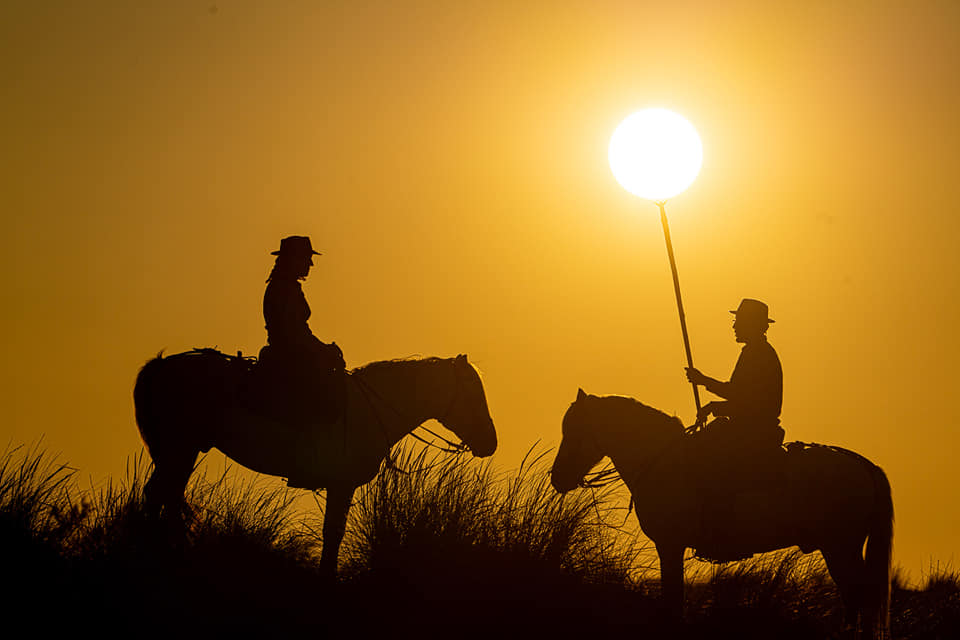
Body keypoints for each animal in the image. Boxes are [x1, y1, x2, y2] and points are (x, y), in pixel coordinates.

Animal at [135, 350, 498, 576]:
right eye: (472, 393)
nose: (491, 442)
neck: (370, 408)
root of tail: (161, 366)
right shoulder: (342, 484)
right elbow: (333, 533)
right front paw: (327, 578)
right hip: (178, 449)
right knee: (161, 496)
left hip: (179, 451)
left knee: (164, 496)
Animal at [552, 388, 896, 636]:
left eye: (573, 430)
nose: (557, 478)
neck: (660, 459)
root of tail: (861, 464)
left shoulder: (669, 545)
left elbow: (673, 601)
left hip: (840, 547)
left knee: (860, 598)